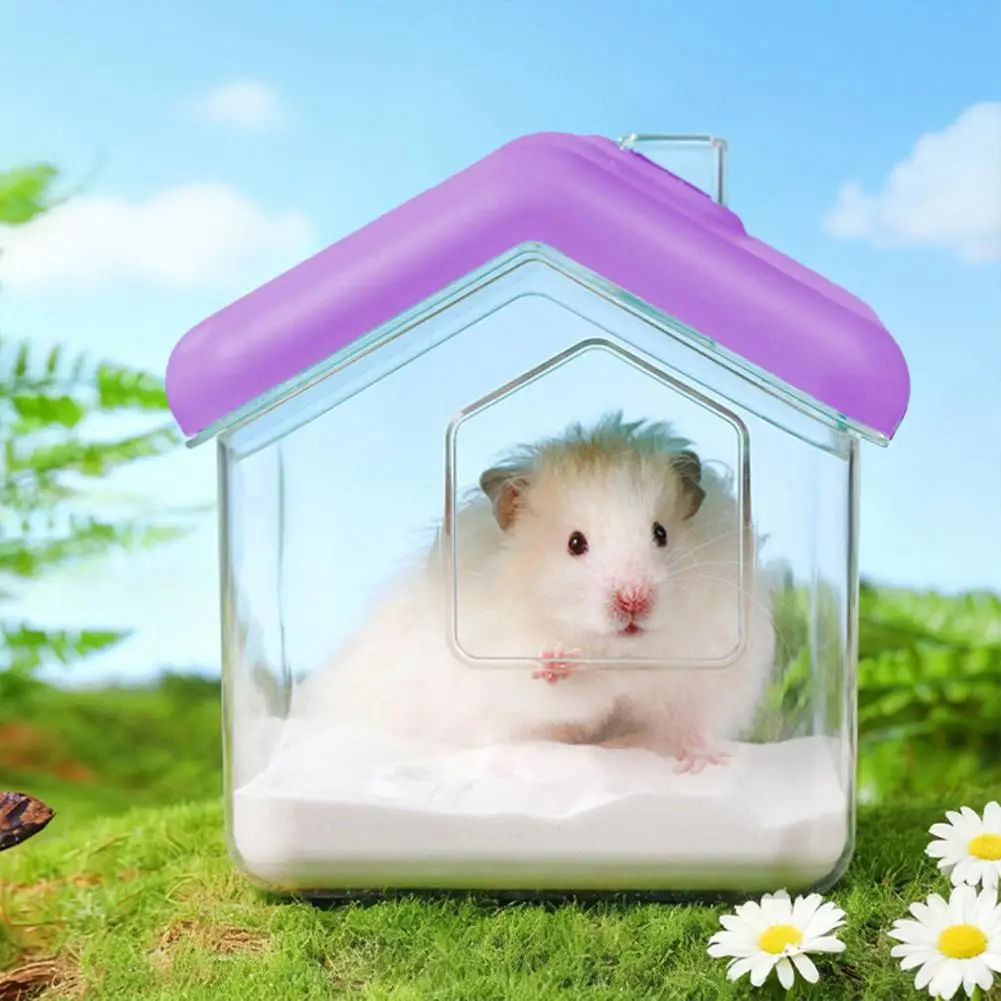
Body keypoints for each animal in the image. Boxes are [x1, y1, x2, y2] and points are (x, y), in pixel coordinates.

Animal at [292, 412, 776, 773]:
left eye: (661, 533)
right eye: (575, 543)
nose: (633, 601)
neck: (619, 652)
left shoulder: (711, 663)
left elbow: (695, 720)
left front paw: (701, 764)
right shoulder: (506, 670)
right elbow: (569, 694)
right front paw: (556, 660)